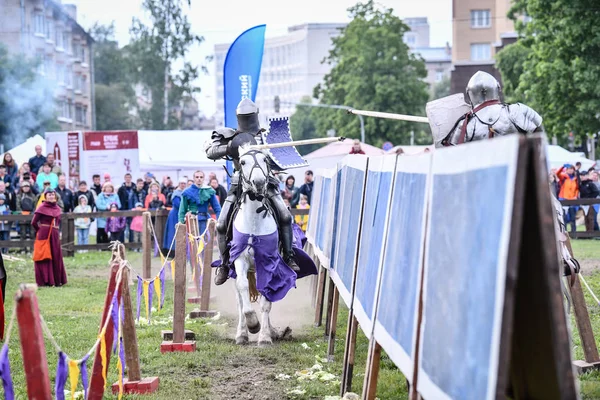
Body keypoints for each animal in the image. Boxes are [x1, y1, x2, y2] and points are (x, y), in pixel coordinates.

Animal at [233, 148, 292, 346]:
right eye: (242, 162)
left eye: (265, 159)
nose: (258, 182)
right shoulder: (240, 259)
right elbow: (243, 288)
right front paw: (252, 324)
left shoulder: (269, 263)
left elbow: (266, 298)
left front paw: (265, 336)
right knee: (240, 299)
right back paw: (241, 334)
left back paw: (272, 331)